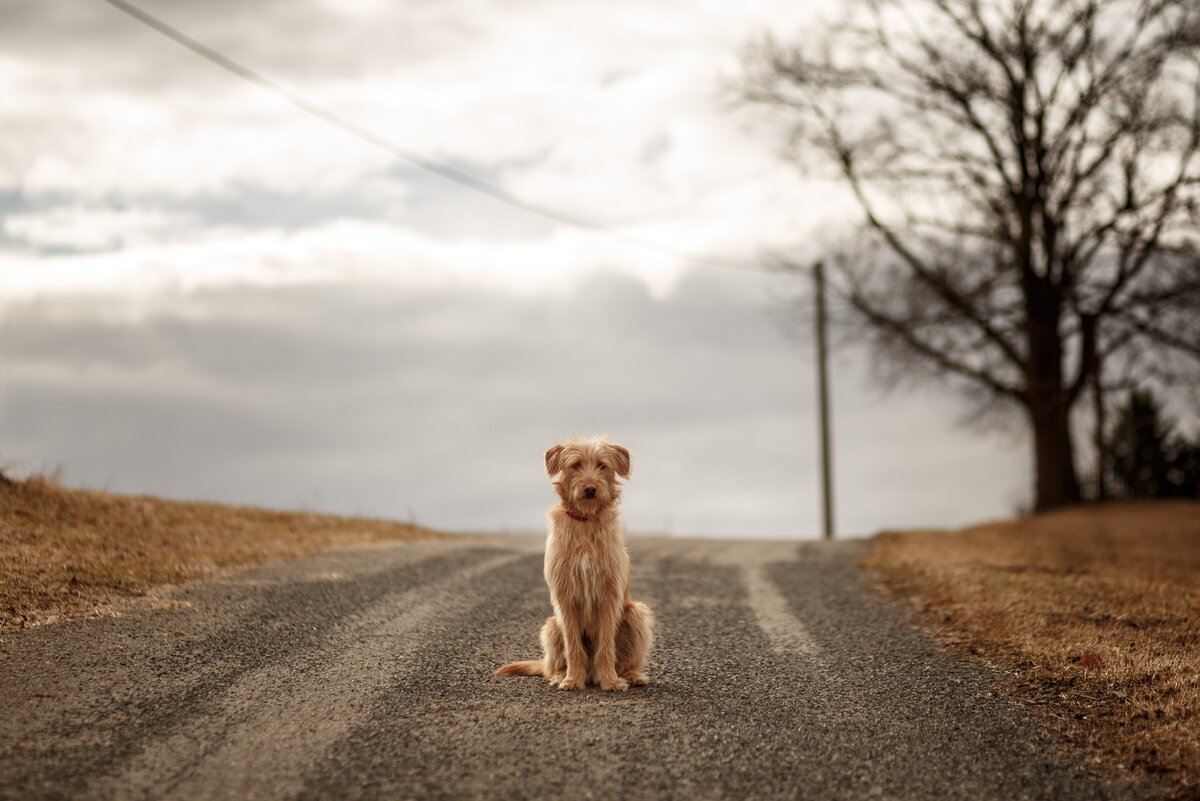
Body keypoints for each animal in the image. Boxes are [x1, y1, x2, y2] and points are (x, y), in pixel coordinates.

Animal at [492, 434, 652, 690]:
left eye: (602, 465)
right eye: (576, 465)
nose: (590, 488)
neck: (585, 521)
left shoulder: (610, 594)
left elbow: (606, 645)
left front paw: (610, 680)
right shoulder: (564, 594)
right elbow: (573, 645)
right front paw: (573, 679)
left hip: (636, 614)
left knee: (627, 661)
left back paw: (631, 675)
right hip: (551, 626)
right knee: (552, 665)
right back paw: (561, 674)